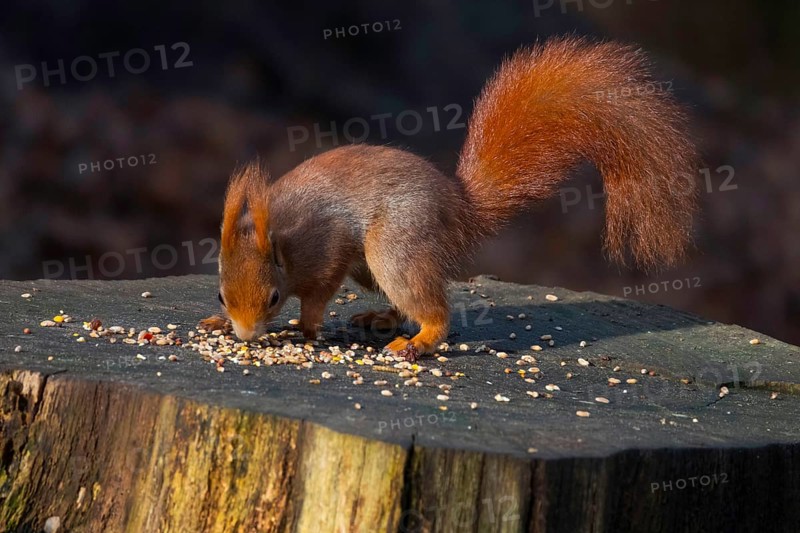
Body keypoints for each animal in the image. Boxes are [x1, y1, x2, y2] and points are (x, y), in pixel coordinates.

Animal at [201, 36, 699, 360]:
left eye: (272, 297)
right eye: (221, 296)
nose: (246, 335)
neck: (281, 241)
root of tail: (459, 207)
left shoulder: (325, 253)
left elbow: (318, 296)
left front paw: (302, 329)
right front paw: (217, 325)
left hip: (395, 246)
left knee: (432, 307)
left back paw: (418, 342)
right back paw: (382, 318)